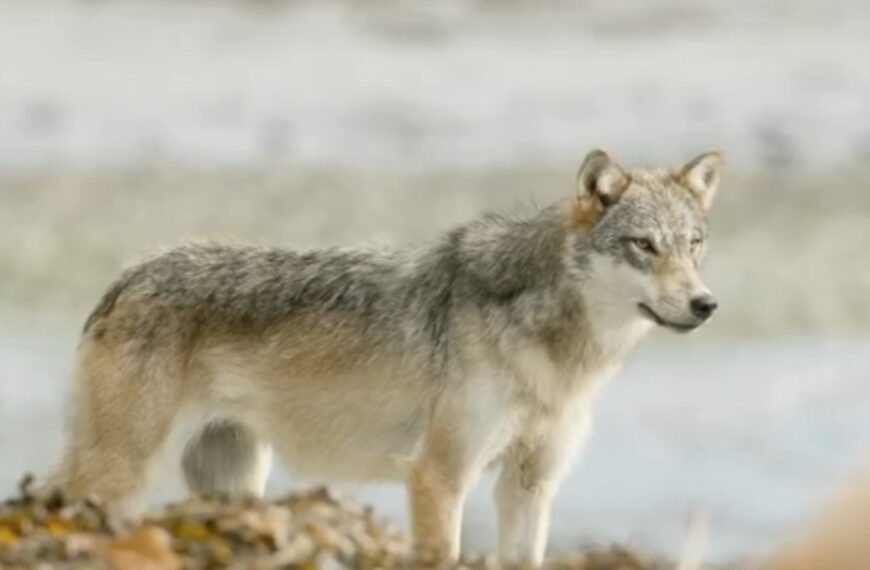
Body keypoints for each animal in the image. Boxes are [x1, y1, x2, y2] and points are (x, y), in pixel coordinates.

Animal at [54, 149, 722, 565]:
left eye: (693, 245)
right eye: (643, 246)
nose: (706, 303)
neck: (554, 354)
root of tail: (125, 278)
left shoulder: (530, 485)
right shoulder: (438, 477)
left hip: (234, 486)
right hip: (120, 481)